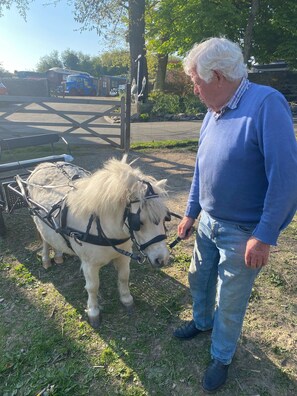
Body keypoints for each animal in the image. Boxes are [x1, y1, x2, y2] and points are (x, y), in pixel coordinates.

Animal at [23, 156, 169, 326]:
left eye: (165, 218)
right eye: (139, 222)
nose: (162, 259)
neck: (103, 228)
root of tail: (43, 164)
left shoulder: (124, 256)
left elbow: (124, 276)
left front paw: (126, 299)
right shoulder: (89, 265)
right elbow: (93, 287)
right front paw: (93, 311)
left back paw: (59, 255)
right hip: (38, 220)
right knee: (45, 240)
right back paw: (46, 259)